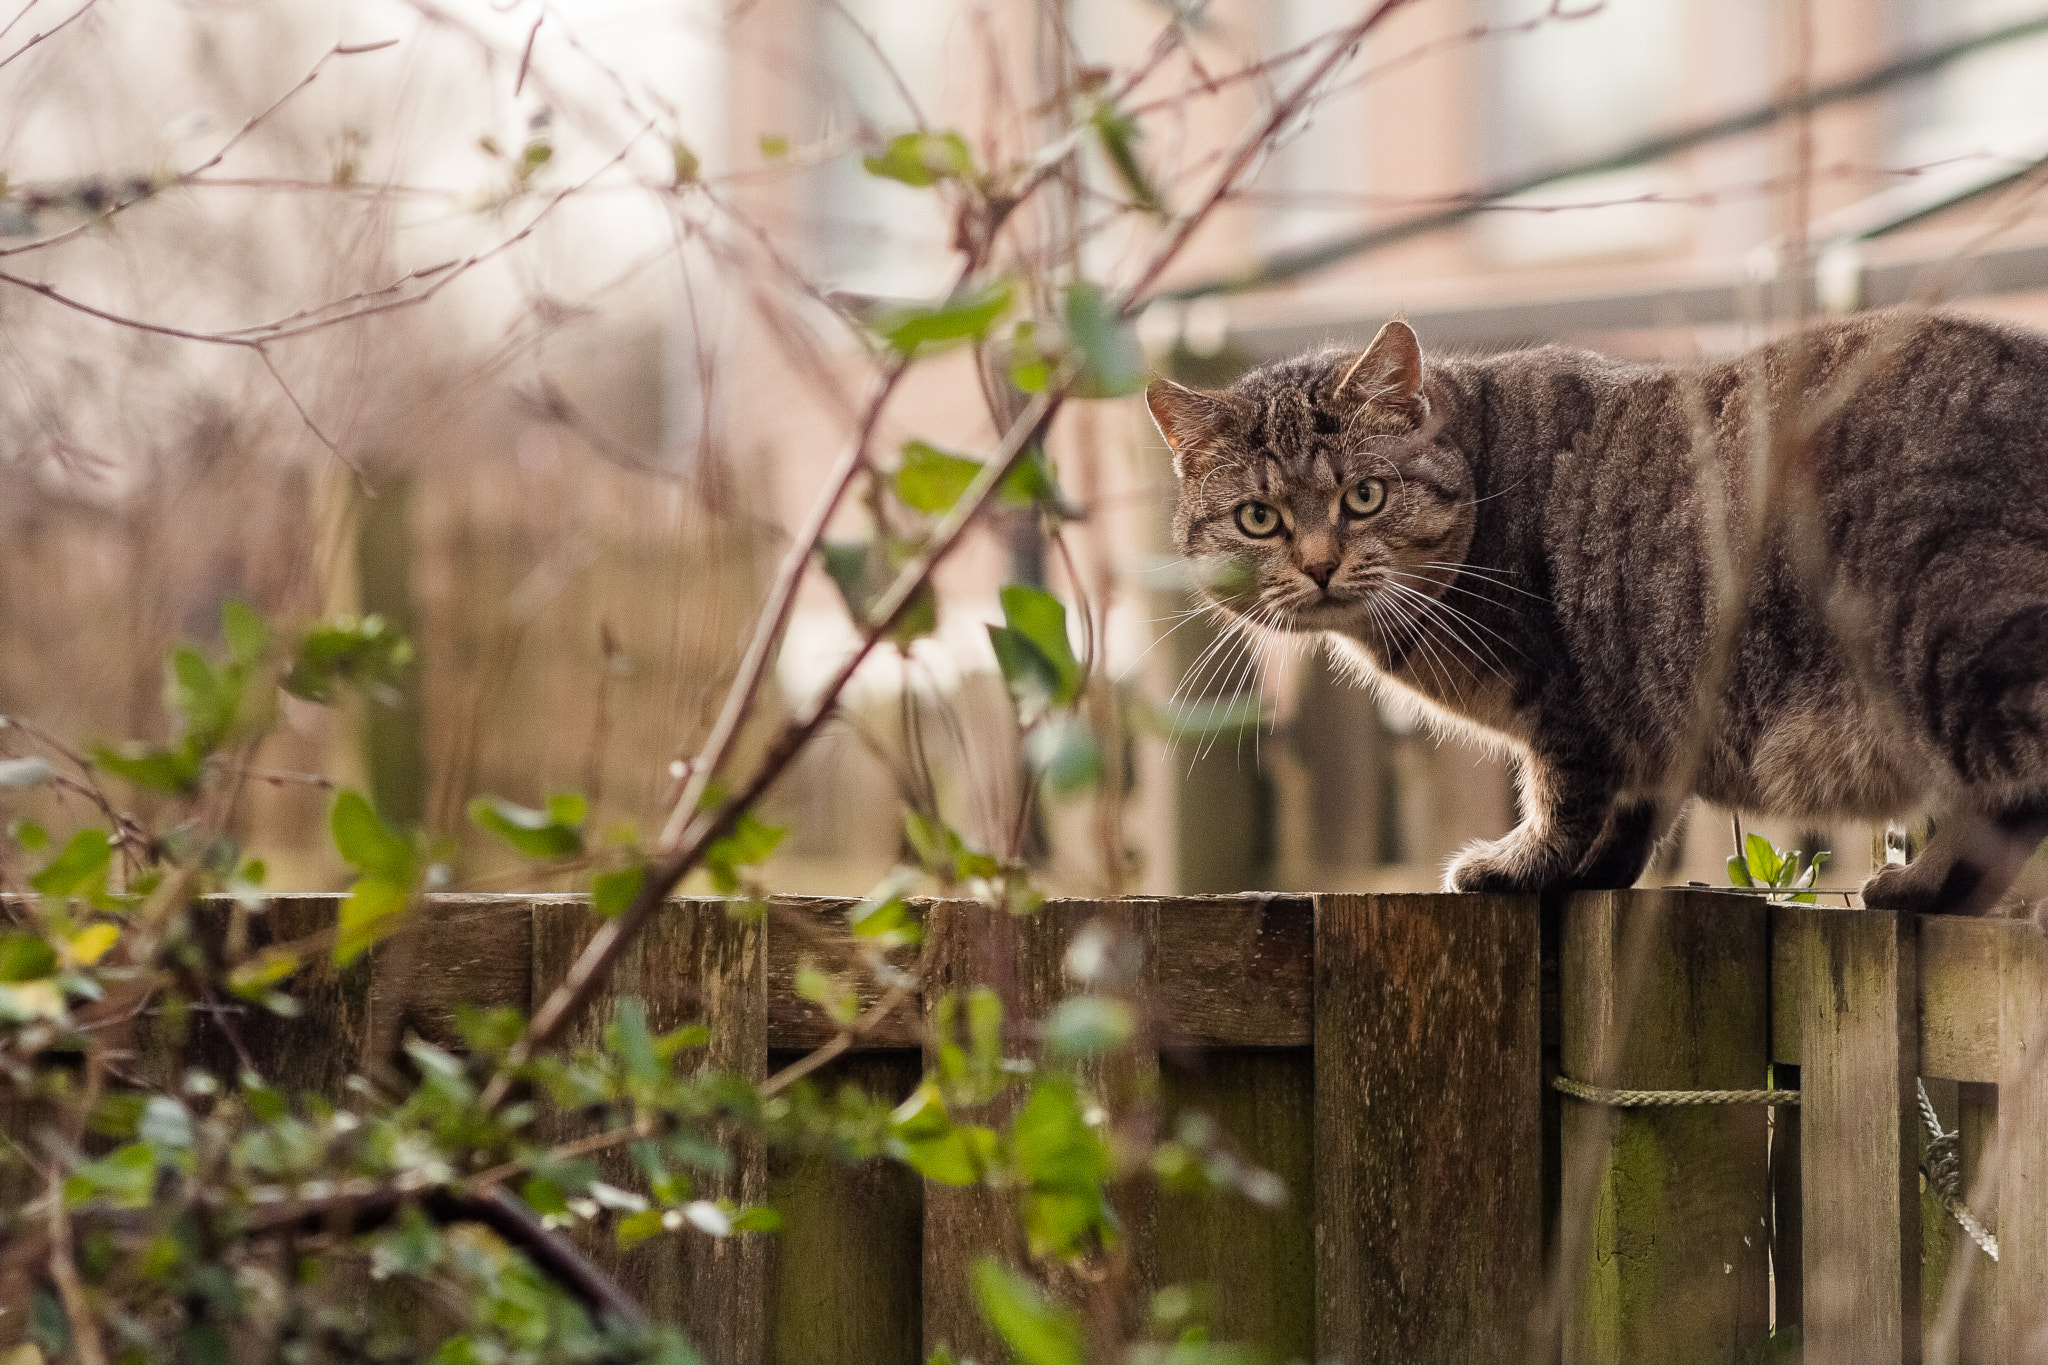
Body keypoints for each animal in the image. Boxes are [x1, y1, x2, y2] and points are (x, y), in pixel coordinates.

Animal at [1146, 313, 2048, 912]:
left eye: (1364, 496)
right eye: (1258, 519)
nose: (1320, 563)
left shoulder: (1567, 701)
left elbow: (1565, 796)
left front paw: (1525, 863)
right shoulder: (1651, 712)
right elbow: (1634, 811)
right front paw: (1596, 870)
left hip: (1956, 648)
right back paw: (1927, 885)